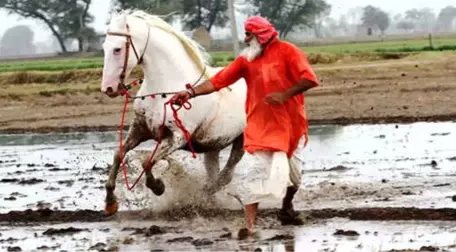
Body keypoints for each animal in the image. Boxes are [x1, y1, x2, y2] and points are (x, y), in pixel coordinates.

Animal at [99, 9, 248, 215]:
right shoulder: (139, 129)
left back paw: (200, 197)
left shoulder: (177, 137)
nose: (108, 88)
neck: (165, 87)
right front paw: (110, 202)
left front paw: (158, 187)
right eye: (104, 48)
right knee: (216, 174)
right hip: (213, 146)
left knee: (225, 176)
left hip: (241, 141)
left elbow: (148, 161)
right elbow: (118, 153)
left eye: (117, 49)